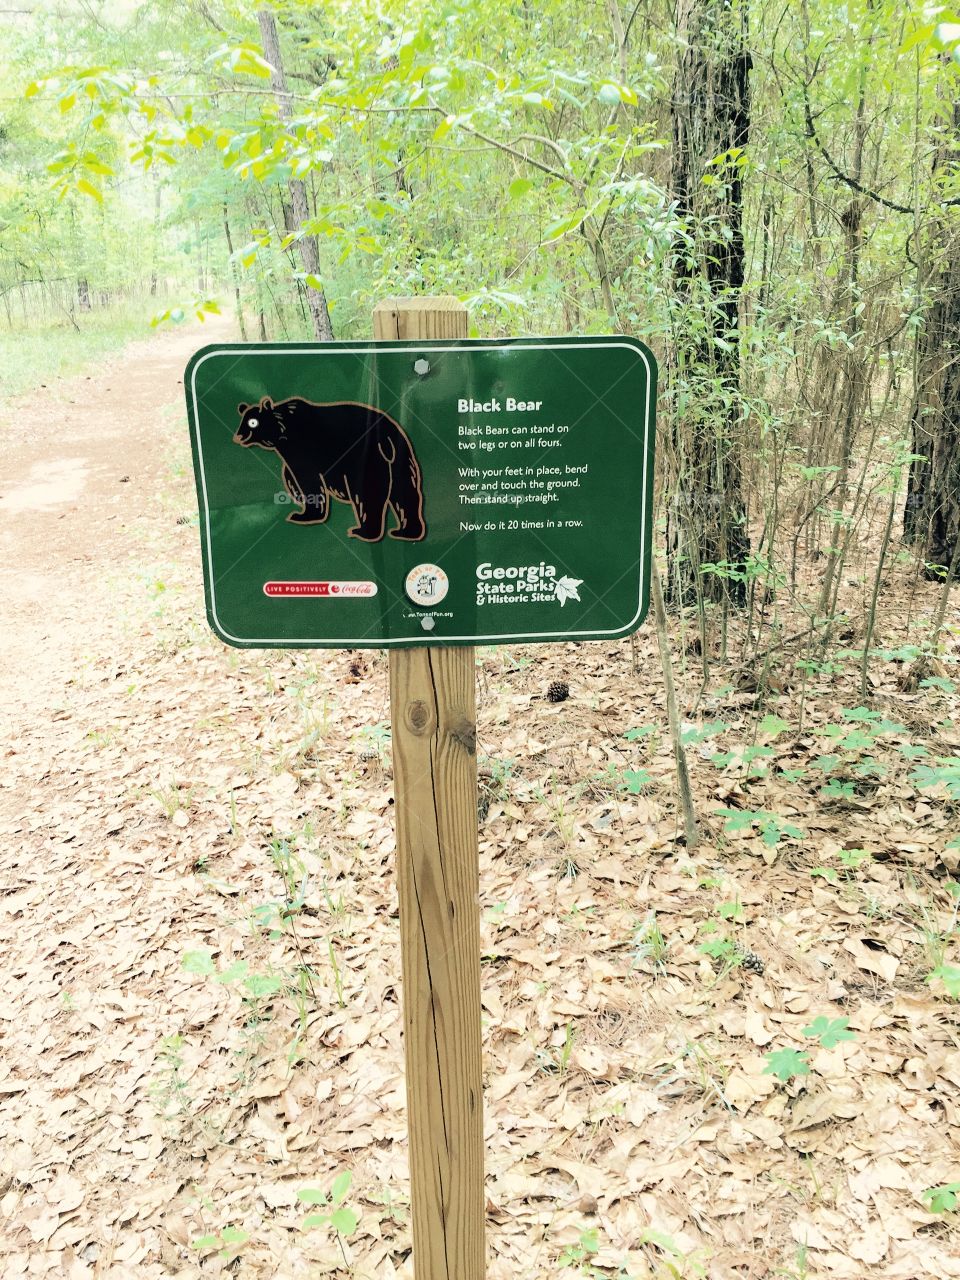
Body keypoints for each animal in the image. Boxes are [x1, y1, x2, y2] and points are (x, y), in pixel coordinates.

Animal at [234, 397, 426, 543]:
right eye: (243, 421)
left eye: (253, 422)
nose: (238, 436)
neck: (283, 431)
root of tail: (387, 437)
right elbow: (292, 477)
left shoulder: (302, 449)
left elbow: (307, 479)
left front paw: (304, 514)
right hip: (402, 458)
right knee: (405, 493)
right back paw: (406, 532)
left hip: (366, 457)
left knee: (369, 492)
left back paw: (363, 531)